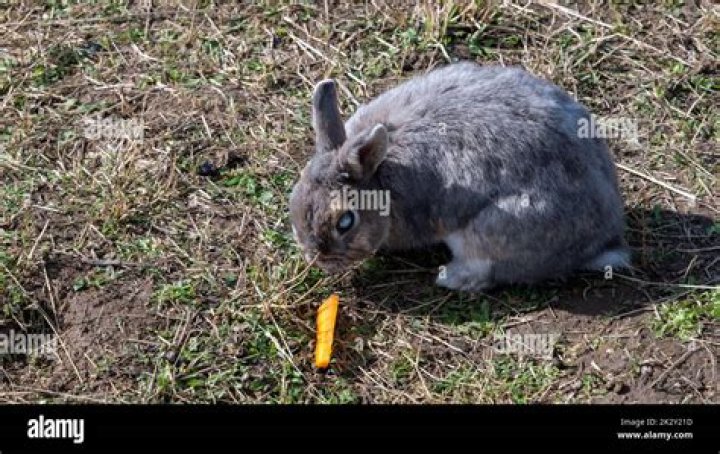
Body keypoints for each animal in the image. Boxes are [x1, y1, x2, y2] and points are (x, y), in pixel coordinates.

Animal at [289, 61, 629, 291]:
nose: (318, 259)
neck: (380, 175)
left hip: (490, 231)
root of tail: (602, 240)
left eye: (345, 222)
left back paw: (448, 276)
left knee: (485, 271)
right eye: (293, 202)